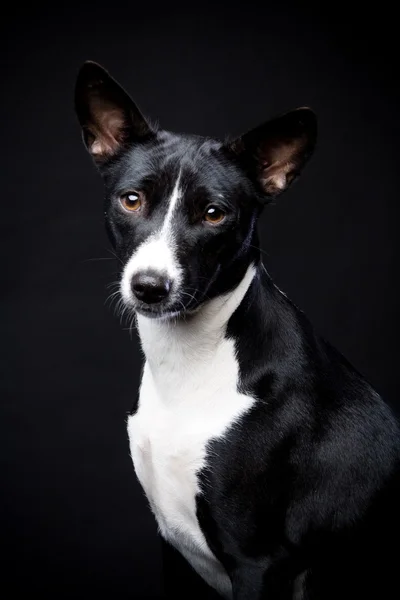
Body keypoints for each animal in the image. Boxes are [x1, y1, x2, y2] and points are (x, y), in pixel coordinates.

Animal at [75, 63, 400, 596]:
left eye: (214, 214)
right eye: (131, 200)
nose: (150, 287)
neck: (189, 366)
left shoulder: (257, 563)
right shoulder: (174, 546)